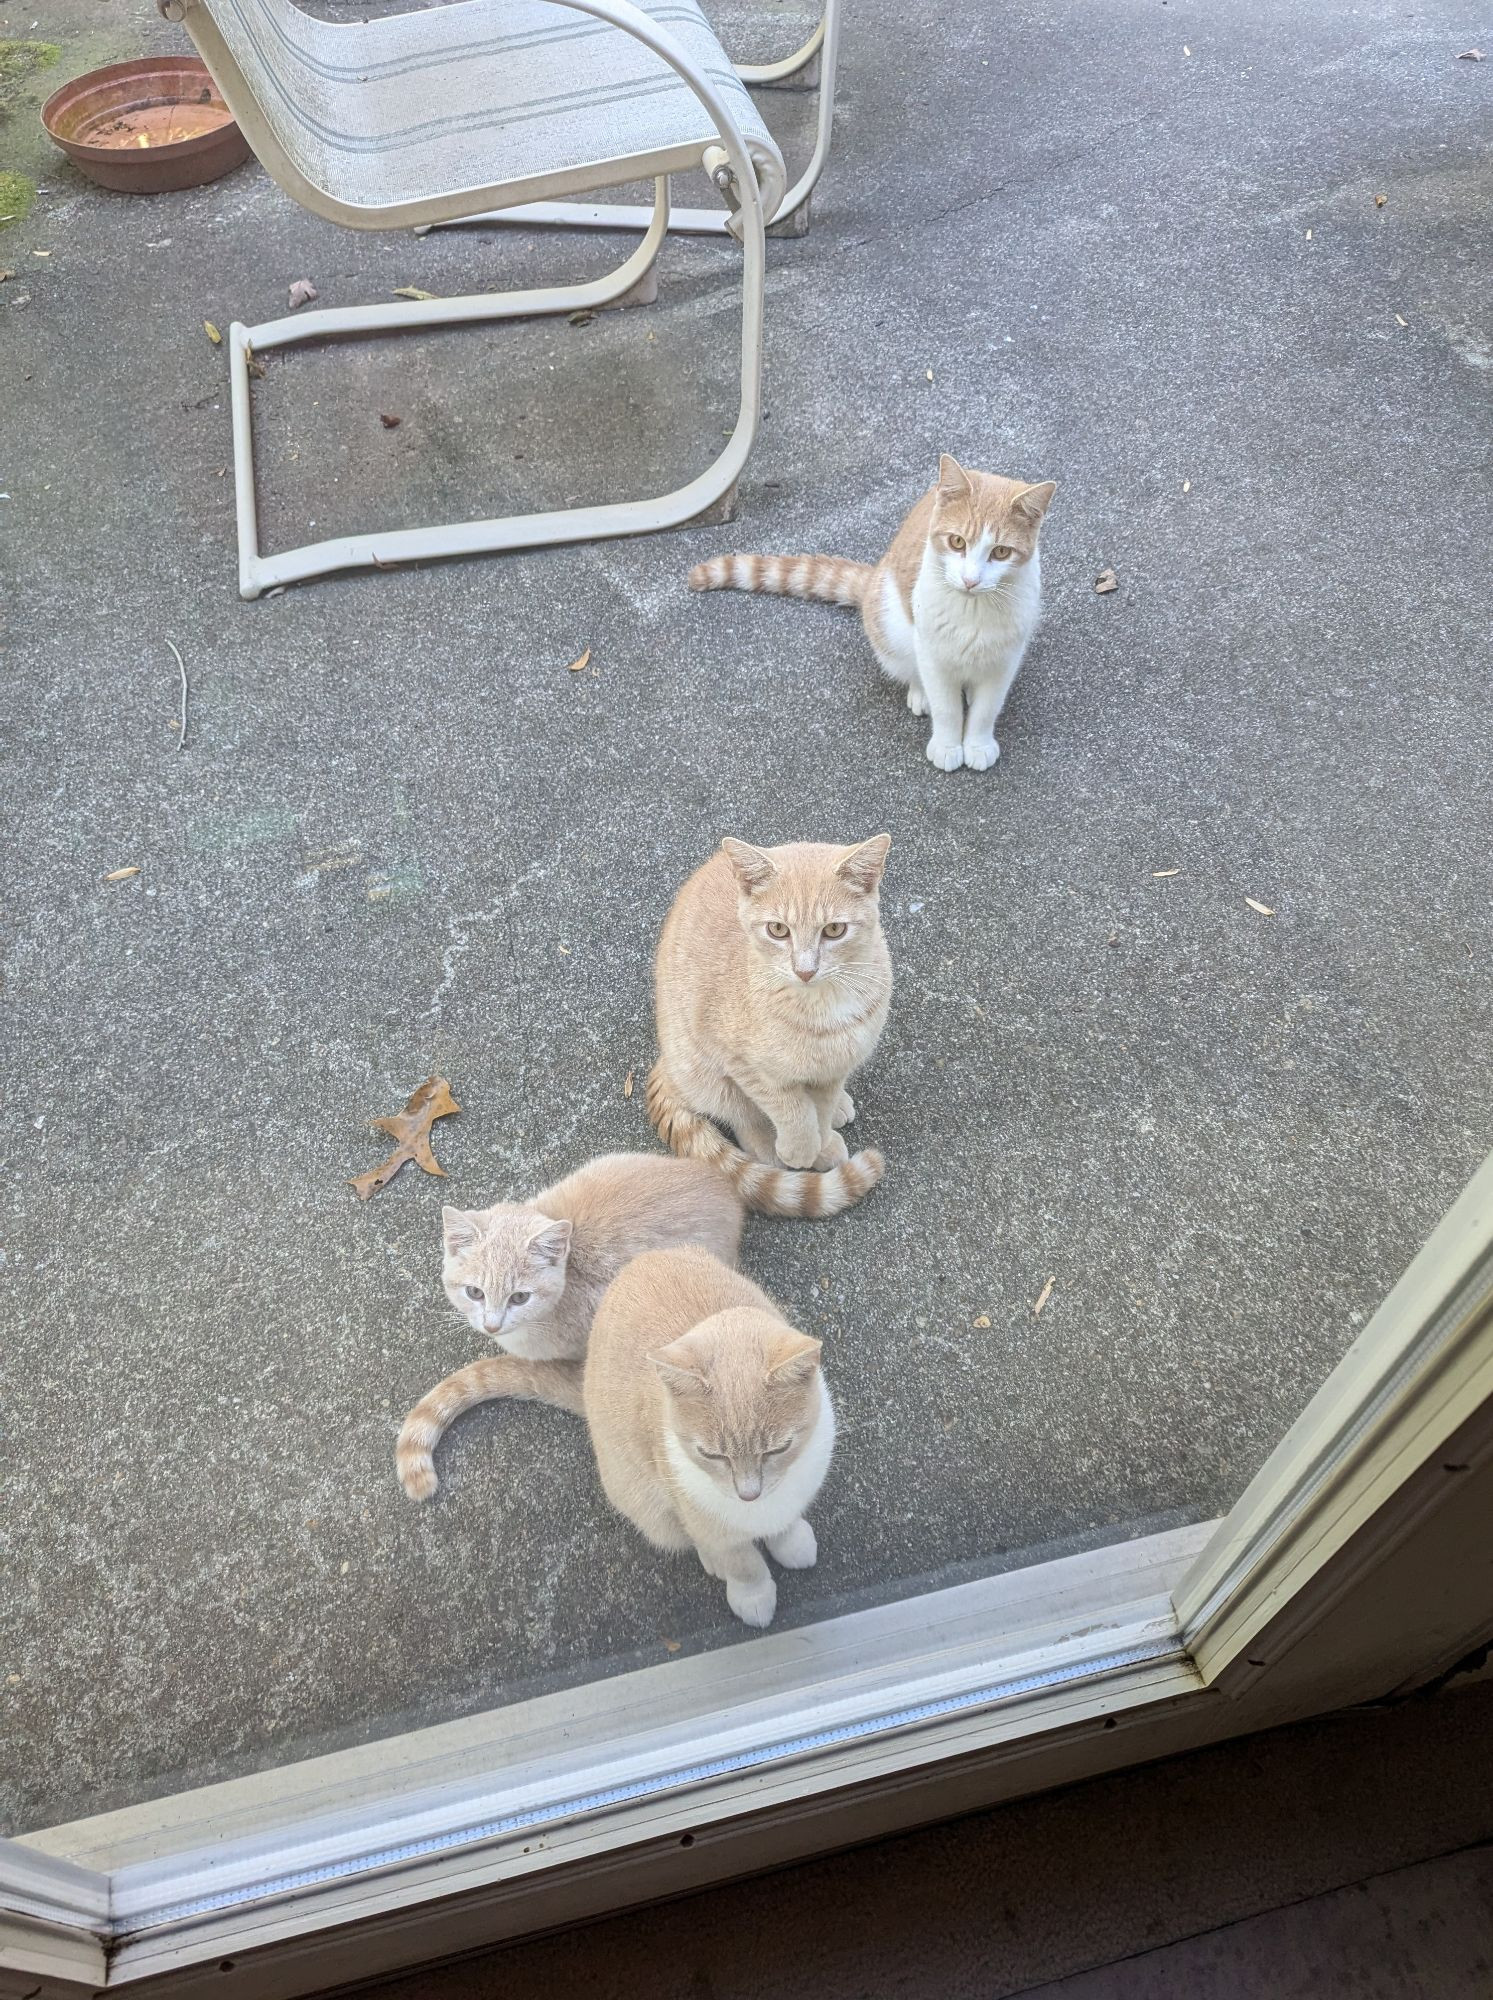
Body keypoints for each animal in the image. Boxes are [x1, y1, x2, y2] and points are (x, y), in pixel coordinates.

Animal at [648, 832, 884, 1216]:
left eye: (834, 930)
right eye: (778, 930)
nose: (805, 970)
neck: (821, 1007)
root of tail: (665, 1065)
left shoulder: (836, 1067)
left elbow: (819, 1107)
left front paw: (822, 1136)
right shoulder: (741, 1063)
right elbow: (790, 1108)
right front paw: (804, 1149)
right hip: (701, 1070)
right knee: (743, 1117)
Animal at [688, 454, 1056, 772]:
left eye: (1001, 552)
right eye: (957, 542)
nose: (970, 580)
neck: (974, 609)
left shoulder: (1005, 660)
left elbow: (985, 709)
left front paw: (977, 744)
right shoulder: (932, 651)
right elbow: (947, 708)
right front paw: (948, 744)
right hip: (891, 626)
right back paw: (920, 693)